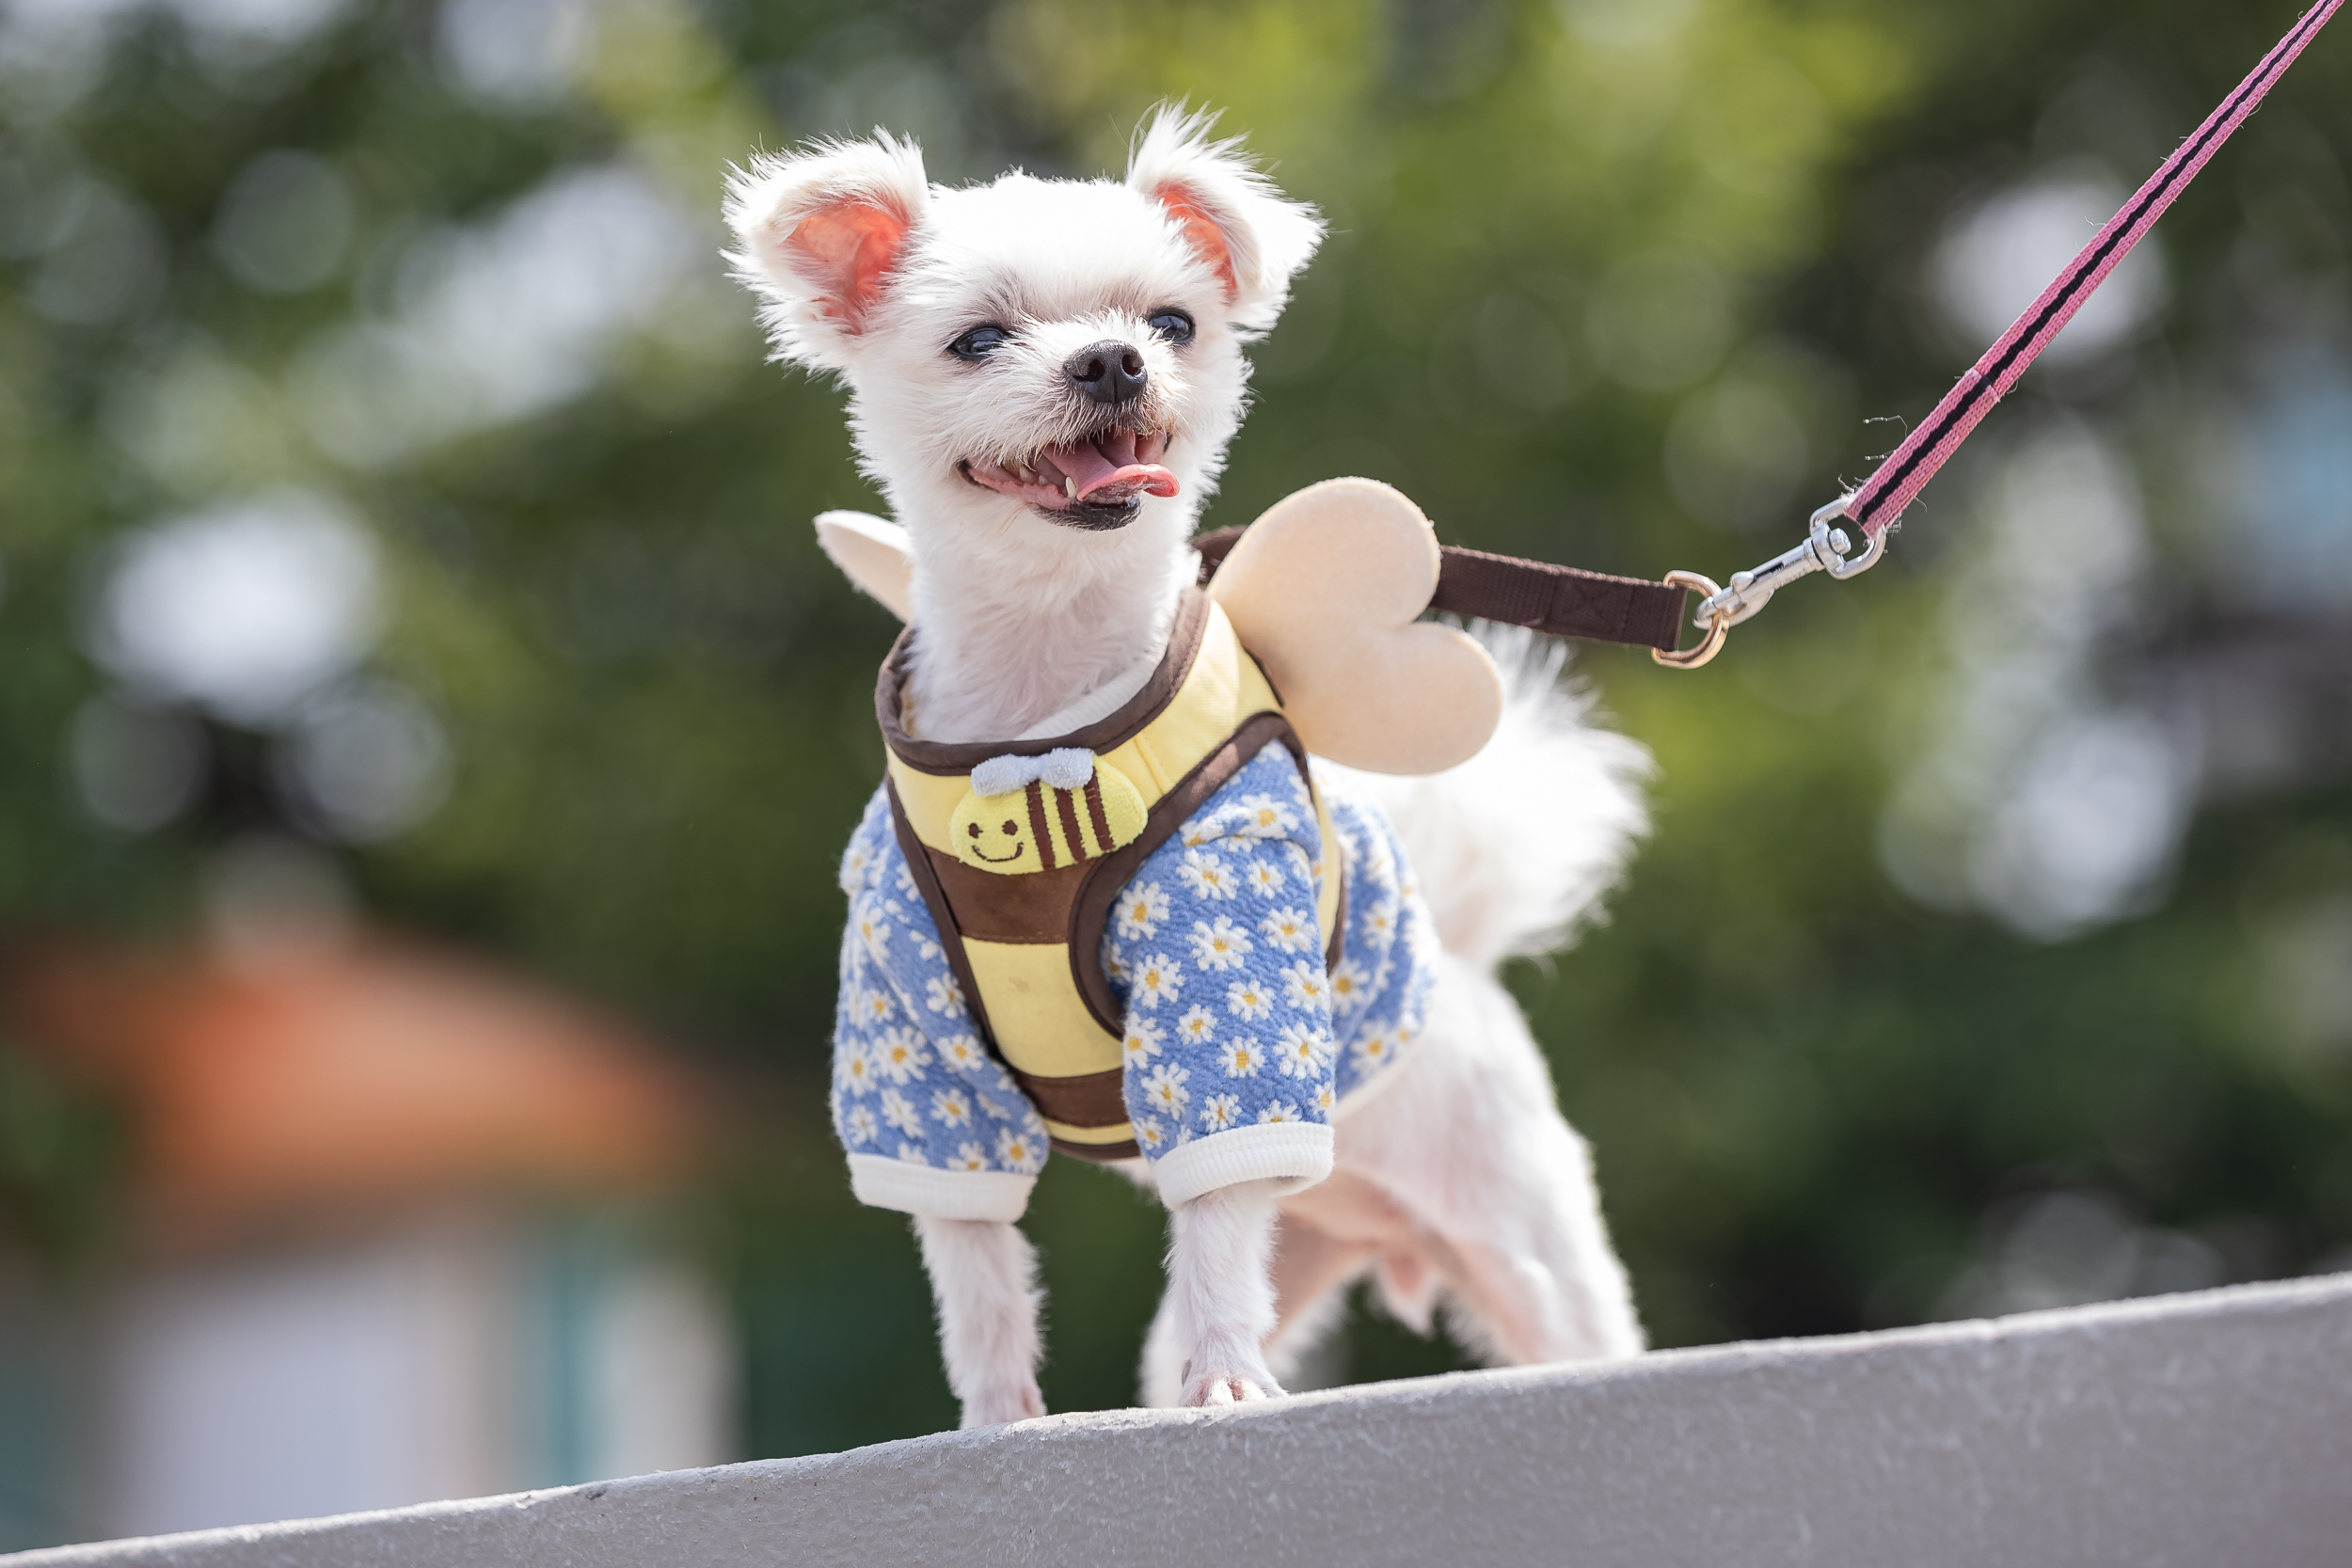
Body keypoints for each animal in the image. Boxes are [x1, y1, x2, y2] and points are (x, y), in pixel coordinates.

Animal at [724, 107, 1646, 1419]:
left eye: (1170, 323)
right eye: (978, 338)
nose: (1112, 361)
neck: (1042, 728)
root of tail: (1460, 964)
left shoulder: (1226, 992)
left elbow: (1213, 1198)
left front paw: (1228, 1384)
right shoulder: (911, 1039)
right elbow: (975, 1266)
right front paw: (994, 1415)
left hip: (1527, 1238)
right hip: (1313, 1238)